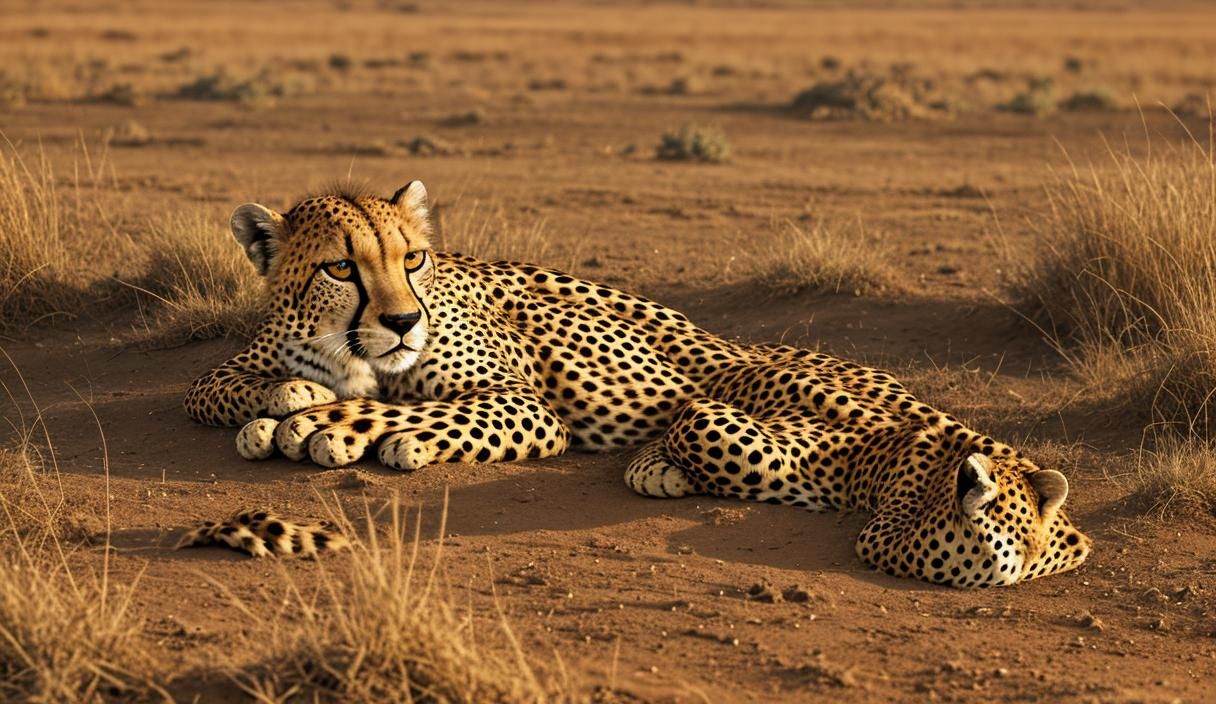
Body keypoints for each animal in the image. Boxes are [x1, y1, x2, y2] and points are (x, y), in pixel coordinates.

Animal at [179, 180, 1091, 587]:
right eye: (342, 266)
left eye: (414, 257)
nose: (404, 320)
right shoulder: (245, 363)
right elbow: (215, 385)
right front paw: (292, 398)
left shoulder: (526, 407)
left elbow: (408, 412)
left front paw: (326, 420)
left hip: (788, 397)